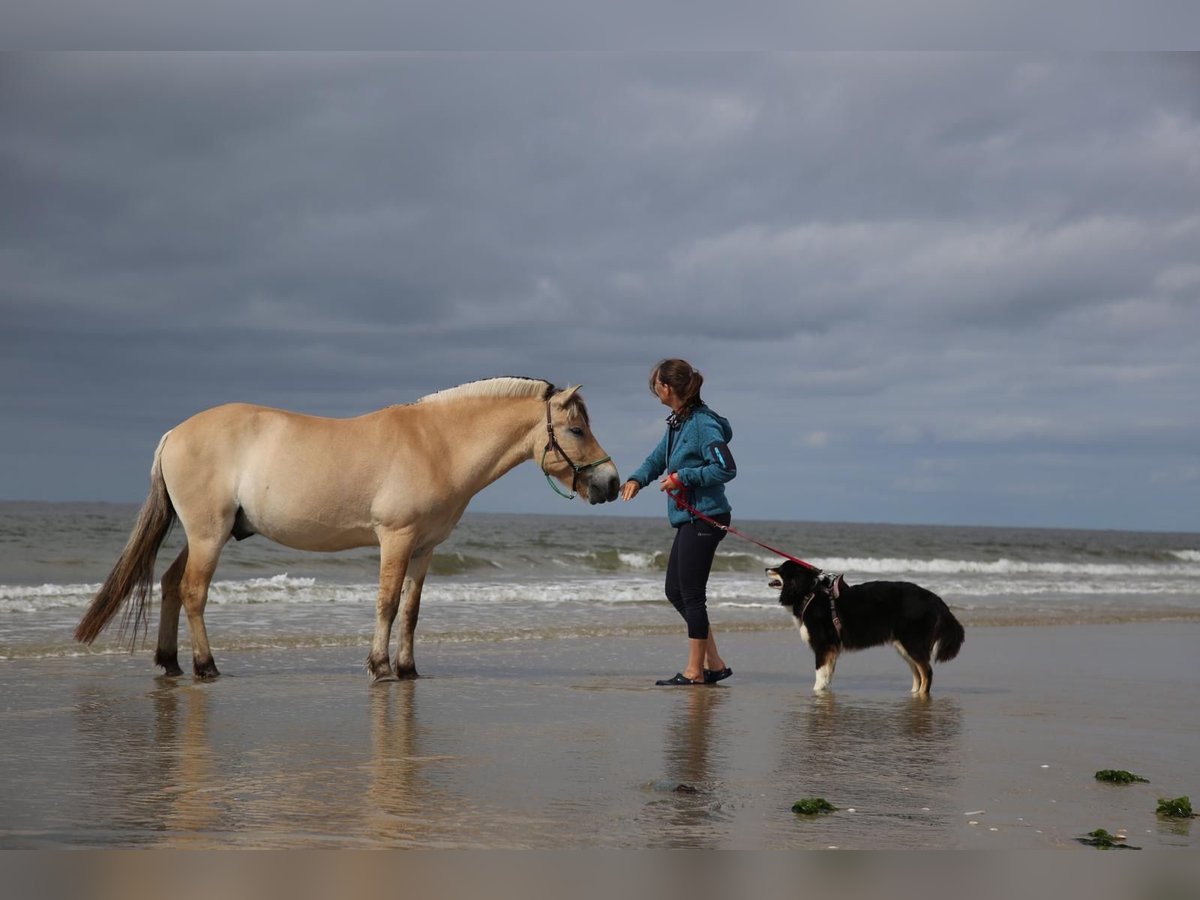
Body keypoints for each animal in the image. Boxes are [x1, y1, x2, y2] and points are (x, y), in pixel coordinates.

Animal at [75, 379, 619, 681]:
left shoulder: (424, 548)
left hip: (202, 534)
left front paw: (408, 670)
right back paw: (205, 667)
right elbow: (387, 604)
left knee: (170, 585)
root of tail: (175, 433)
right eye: (576, 430)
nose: (611, 483)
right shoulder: (396, 538)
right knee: (192, 592)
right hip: (208, 534)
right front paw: (379, 667)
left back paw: (169, 662)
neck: (438, 444)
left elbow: (412, 612)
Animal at [768, 561, 964, 700]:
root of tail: (935, 599)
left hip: (912, 643)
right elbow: (827, 676)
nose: (766, 568)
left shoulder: (823, 646)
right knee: (919, 673)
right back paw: (914, 694)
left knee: (927, 672)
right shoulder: (832, 649)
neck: (809, 593)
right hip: (904, 646)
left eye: (781, 568)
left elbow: (819, 674)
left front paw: (816, 694)